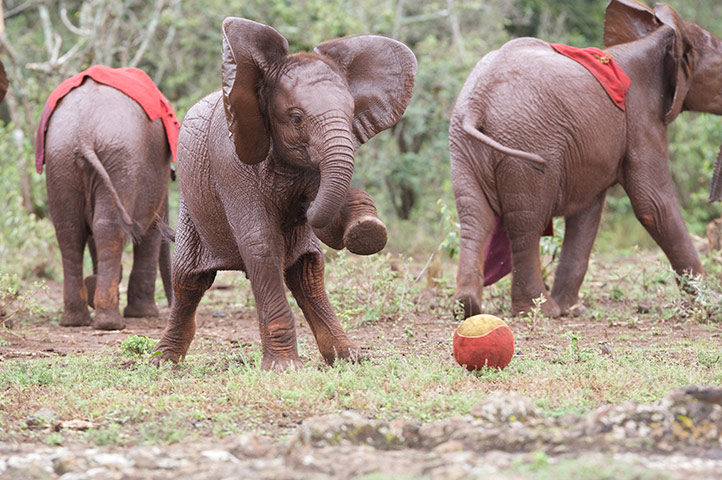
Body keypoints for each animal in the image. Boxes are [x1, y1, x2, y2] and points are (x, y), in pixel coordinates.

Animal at [41, 74, 175, 330]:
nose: (173, 302)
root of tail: (83, 133)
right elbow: (150, 232)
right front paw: (143, 314)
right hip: (118, 160)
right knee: (108, 229)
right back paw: (110, 323)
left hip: (62, 161)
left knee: (71, 230)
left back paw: (76, 320)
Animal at [152, 18, 416, 370]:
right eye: (296, 118)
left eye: (351, 115)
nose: (303, 209)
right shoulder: (230, 163)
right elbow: (261, 244)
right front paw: (283, 369)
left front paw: (366, 229)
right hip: (191, 211)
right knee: (188, 282)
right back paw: (162, 363)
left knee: (308, 273)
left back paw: (348, 357)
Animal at [449, 0, 722, 319]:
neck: (661, 35)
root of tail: (477, 102)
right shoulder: (641, 118)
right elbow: (653, 204)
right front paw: (708, 301)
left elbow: (588, 212)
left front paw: (574, 308)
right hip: (525, 139)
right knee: (526, 223)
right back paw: (541, 310)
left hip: (463, 144)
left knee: (473, 216)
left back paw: (468, 306)